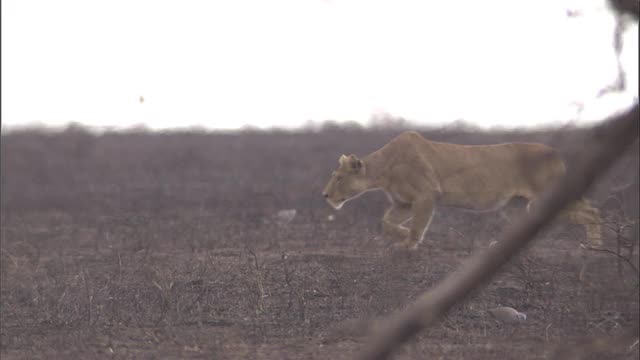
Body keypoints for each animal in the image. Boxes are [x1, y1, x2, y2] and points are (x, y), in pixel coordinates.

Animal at [322, 130, 604, 250]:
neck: (383, 171)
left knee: (593, 213)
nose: (324, 195)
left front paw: (409, 244)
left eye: (338, 178)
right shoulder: (404, 202)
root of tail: (555, 152)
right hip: (516, 205)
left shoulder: (426, 195)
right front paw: (400, 235)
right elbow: (386, 222)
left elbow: (417, 225)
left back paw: (594, 247)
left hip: (548, 197)